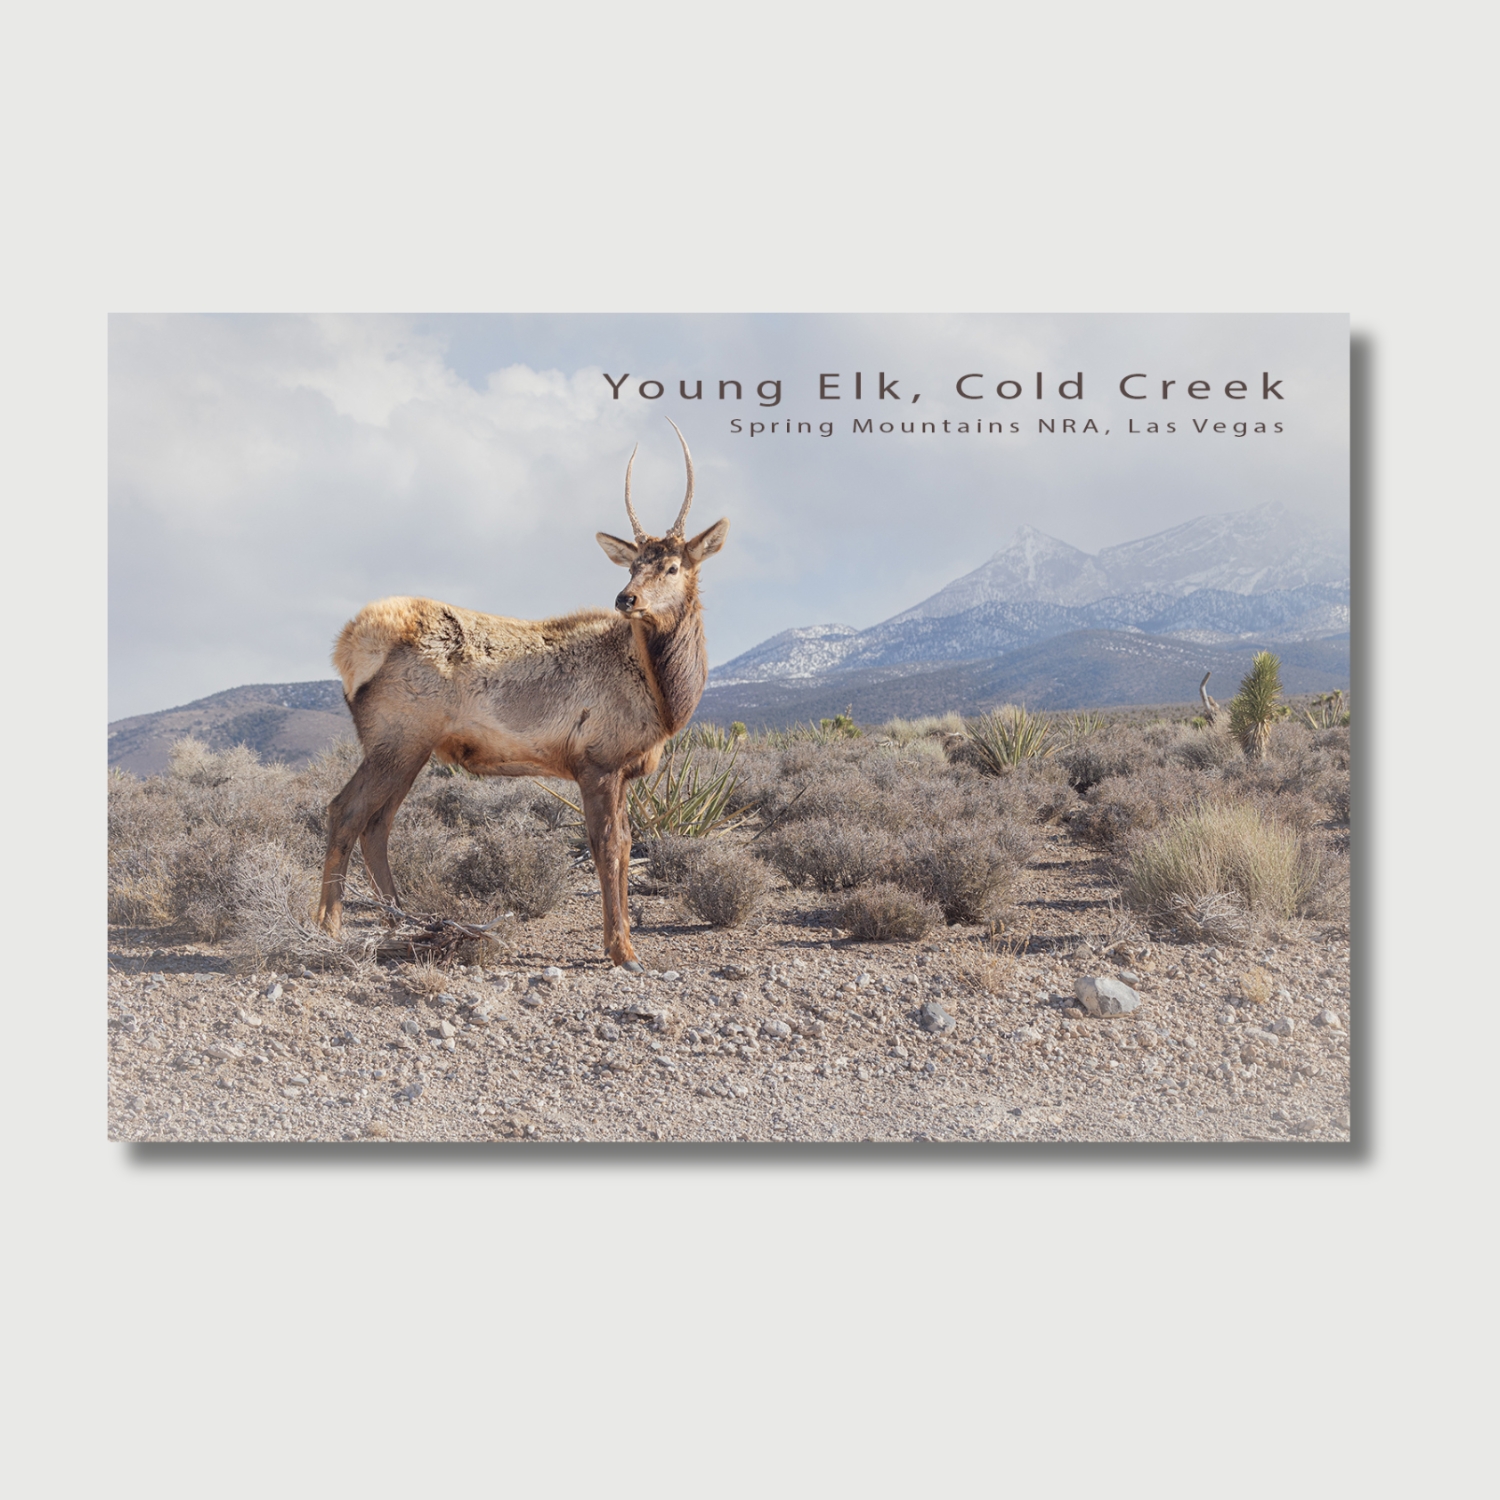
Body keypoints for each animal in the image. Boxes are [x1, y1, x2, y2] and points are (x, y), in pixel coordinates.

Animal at [316, 421, 728, 972]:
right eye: (633, 565)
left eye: (672, 567)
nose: (627, 598)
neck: (665, 698)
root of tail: (348, 646)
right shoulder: (597, 761)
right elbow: (608, 848)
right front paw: (622, 950)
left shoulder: (621, 771)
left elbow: (624, 846)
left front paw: (619, 942)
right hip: (397, 738)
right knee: (346, 811)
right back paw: (328, 928)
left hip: (408, 748)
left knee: (377, 824)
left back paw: (402, 924)